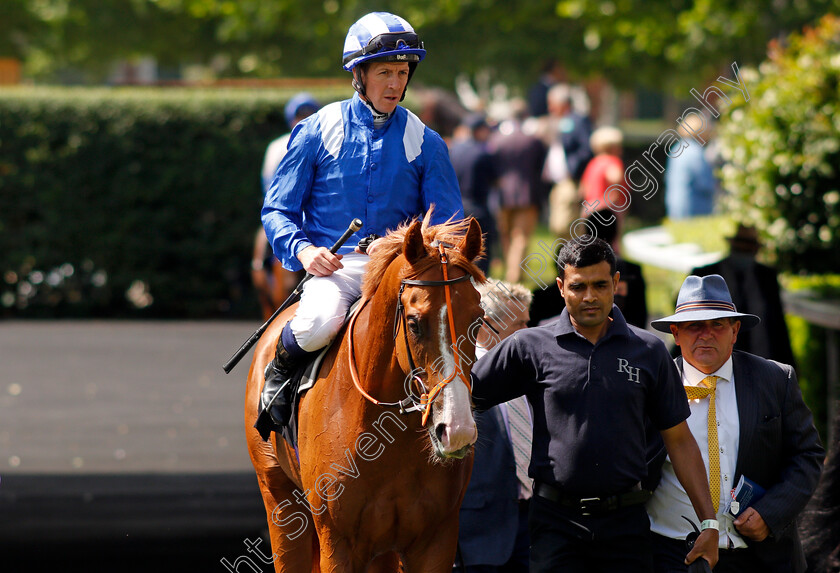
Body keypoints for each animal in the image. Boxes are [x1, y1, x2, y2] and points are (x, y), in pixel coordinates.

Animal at [246, 217, 486, 568]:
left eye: (478, 320)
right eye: (414, 323)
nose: (456, 429)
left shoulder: (436, 540)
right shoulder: (338, 542)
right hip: (279, 502)